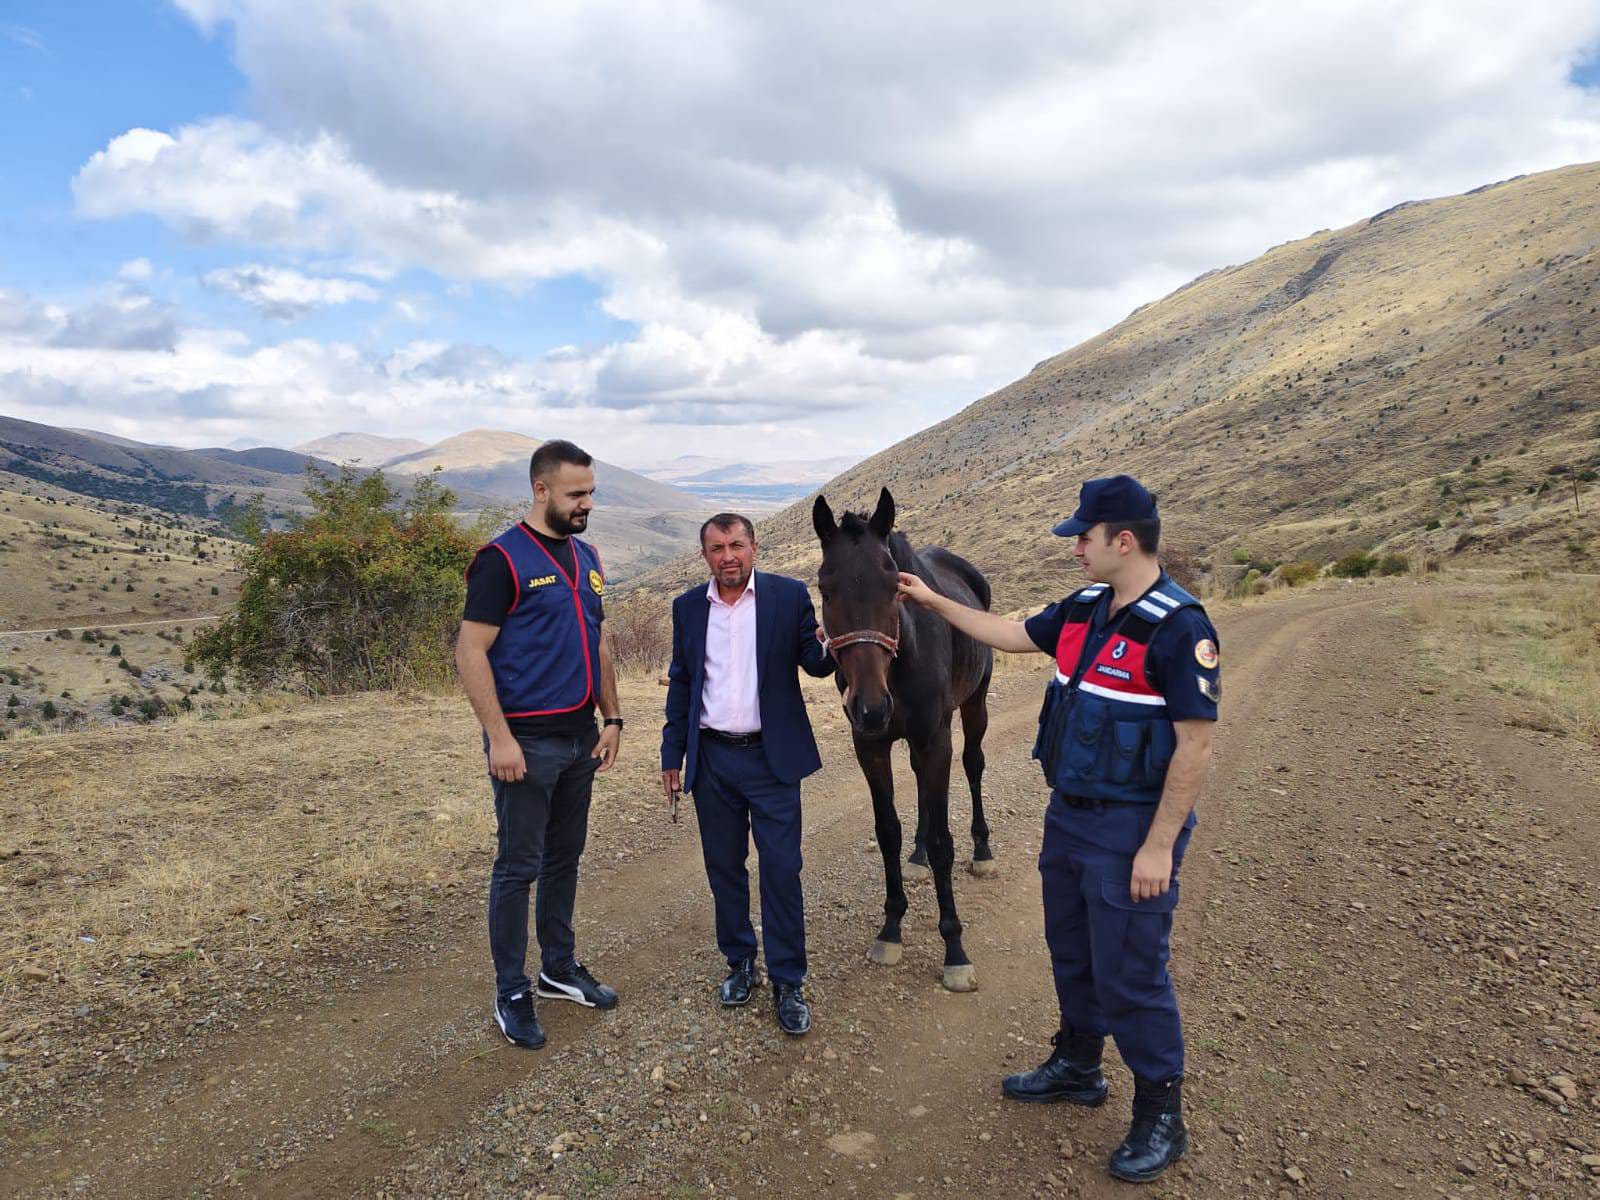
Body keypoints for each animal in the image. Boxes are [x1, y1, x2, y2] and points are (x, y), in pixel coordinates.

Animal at [819, 489, 992, 998]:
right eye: (825, 589)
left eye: (895, 585)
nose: (872, 706)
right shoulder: (870, 747)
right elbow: (888, 831)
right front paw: (891, 927)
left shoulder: (936, 740)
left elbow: (943, 842)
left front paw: (955, 951)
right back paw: (916, 859)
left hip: (973, 706)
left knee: (973, 765)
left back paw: (983, 851)